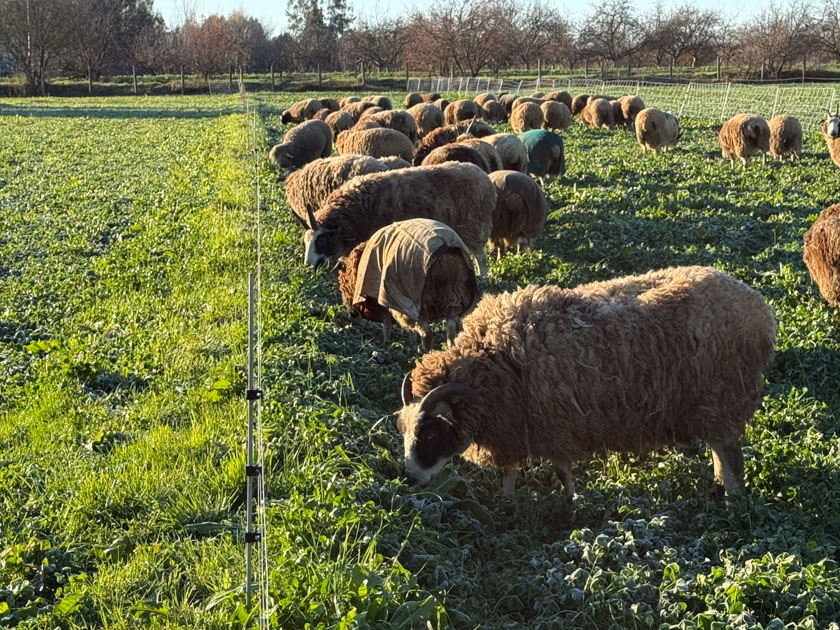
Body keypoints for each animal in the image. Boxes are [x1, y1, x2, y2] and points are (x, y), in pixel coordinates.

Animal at [296, 162, 497, 276]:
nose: (308, 265)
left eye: (322, 240)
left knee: (480, 257)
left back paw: (482, 277)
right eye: (305, 242)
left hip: (474, 225)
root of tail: (484, 177)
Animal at [337, 219, 479, 350]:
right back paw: (451, 348)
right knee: (451, 328)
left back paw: (425, 351)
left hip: (419, 301)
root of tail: (445, 248)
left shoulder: (385, 298)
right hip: (456, 297)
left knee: (427, 332)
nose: (351, 316)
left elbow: (387, 323)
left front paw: (386, 343)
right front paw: (411, 341)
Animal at [396, 265, 776, 497]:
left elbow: (562, 472)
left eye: (429, 433)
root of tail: (760, 309)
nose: (409, 478)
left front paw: (571, 502)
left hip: (723, 398)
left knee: (729, 455)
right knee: (719, 450)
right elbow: (511, 472)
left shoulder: (553, 427)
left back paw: (731, 497)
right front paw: (509, 501)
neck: (493, 360)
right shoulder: (516, 427)